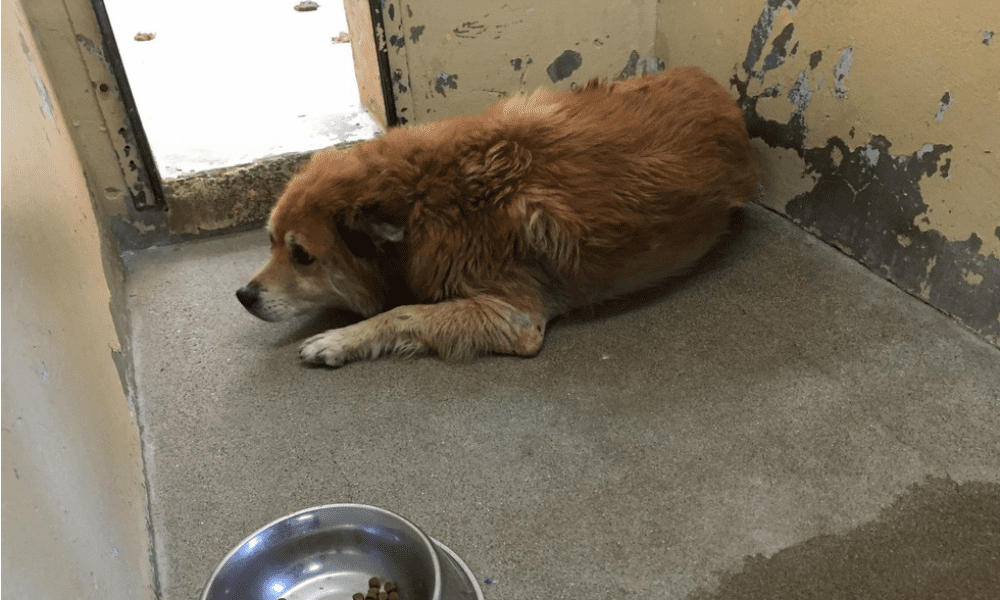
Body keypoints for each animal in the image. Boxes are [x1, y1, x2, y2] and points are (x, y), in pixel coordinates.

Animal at [236, 65, 756, 366]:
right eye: (270, 241)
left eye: (302, 255)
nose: (243, 296)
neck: (425, 199)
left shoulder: (515, 317)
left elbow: (403, 313)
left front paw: (340, 340)